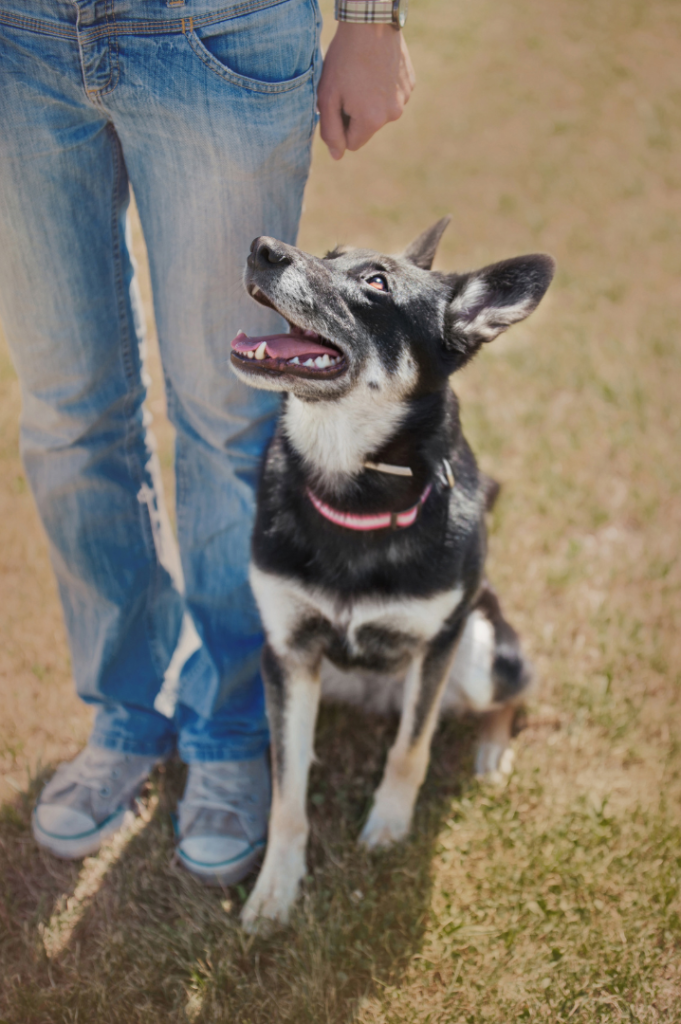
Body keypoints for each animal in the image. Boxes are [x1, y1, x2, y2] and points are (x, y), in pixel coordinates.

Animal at [228, 220, 552, 933]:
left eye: (376, 283)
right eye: (326, 253)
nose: (261, 248)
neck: (353, 490)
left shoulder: (439, 642)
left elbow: (411, 747)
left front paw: (387, 828)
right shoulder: (288, 655)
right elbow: (287, 789)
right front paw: (275, 890)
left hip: (481, 649)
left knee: (513, 692)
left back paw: (492, 751)